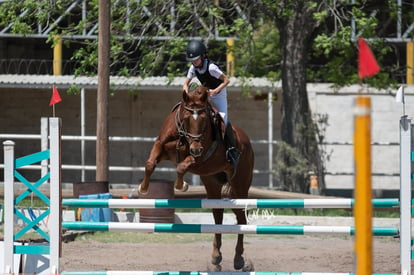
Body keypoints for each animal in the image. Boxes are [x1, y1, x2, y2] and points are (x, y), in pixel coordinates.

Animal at [139, 86, 254, 272]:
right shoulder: (160, 146)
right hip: (212, 182)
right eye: (186, 118)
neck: (182, 135)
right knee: (218, 215)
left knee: (241, 217)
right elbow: (150, 163)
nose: (196, 149)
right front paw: (142, 189)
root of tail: (247, 141)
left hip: (240, 184)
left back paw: (238, 259)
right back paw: (216, 257)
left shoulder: (198, 159)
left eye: (205, 120)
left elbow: (181, 167)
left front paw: (182, 186)